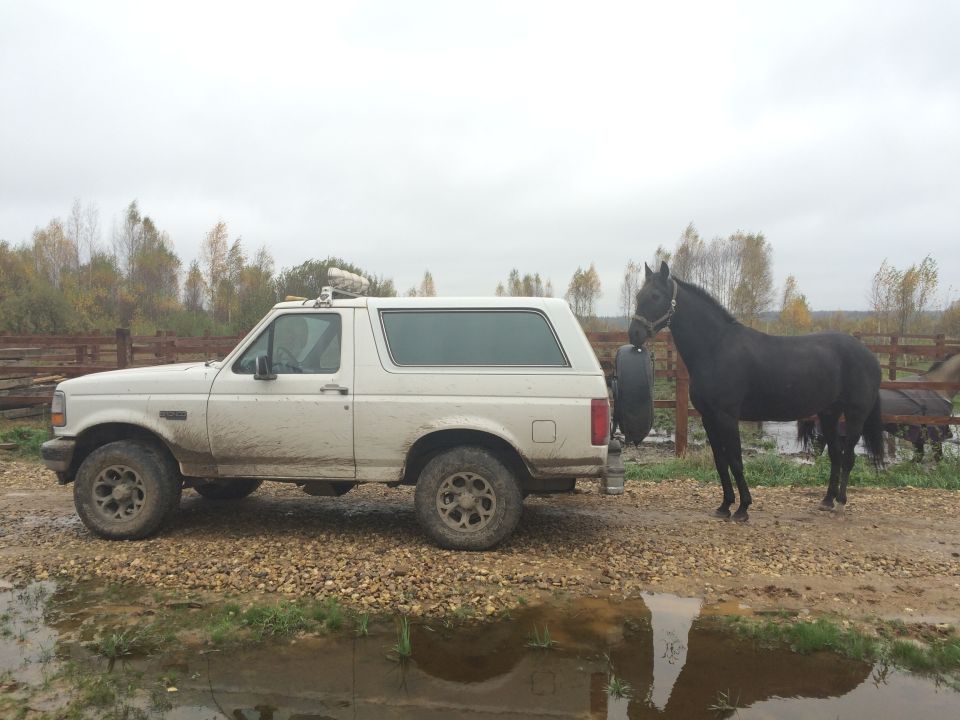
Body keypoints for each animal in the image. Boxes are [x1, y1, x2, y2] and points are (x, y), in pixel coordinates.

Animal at [629, 262, 884, 521]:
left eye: (655, 296)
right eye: (638, 295)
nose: (635, 334)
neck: (715, 348)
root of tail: (869, 355)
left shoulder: (727, 417)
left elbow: (735, 460)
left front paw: (743, 508)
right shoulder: (708, 418)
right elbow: (720, 461)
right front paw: (724, 506)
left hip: (855, 415)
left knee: (848, 457)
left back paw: (841, 502)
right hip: (829, 414)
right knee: (835, 454)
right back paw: (827, 500)